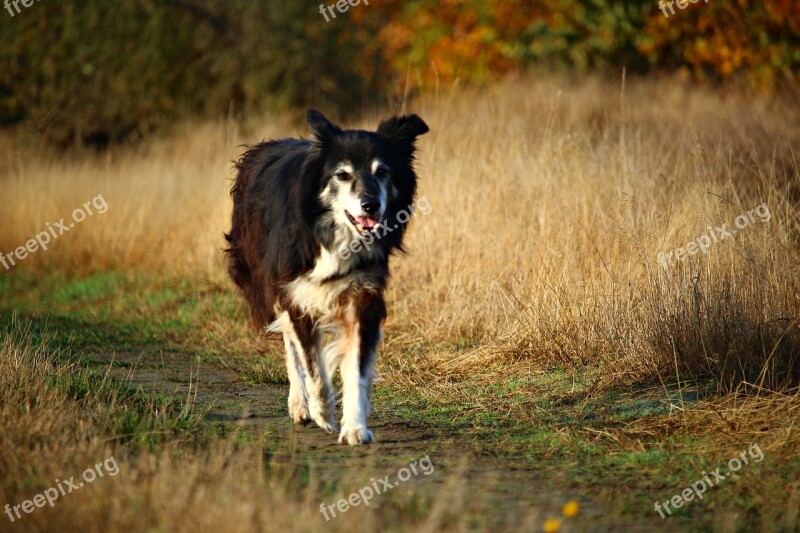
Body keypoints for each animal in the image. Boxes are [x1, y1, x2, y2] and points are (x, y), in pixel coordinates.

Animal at [222, 109, 428, 444]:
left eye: (383, 172)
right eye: (342, 175)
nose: (371, 205)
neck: (333, 234)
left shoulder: (362, 296)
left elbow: (356, 366)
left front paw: (355, 427)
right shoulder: (294, 291)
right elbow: (310, 362)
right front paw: (322, 412)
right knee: (290, 344)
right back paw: (299, 405)